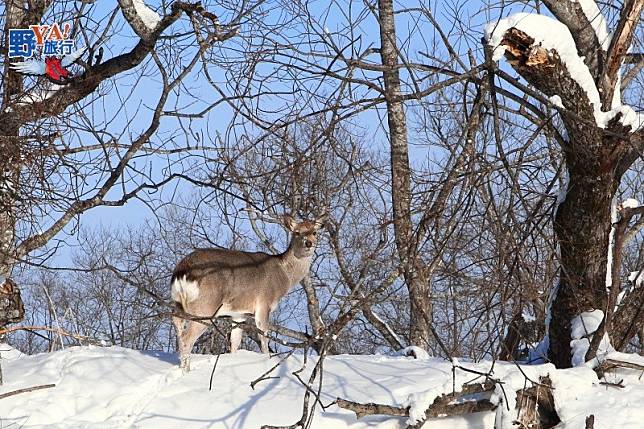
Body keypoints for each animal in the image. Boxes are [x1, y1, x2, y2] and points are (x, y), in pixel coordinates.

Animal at [171, 214, 328, 372]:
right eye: (296, 232)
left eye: (315, 232)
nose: (309, 243)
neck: (284, 276)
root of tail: (182, 270)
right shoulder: (264, 304)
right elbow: (264, 339)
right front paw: (266, 360)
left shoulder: (238, 313)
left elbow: (235, 341)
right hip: (205, 306)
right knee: (187, 338)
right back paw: (186, 371)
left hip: (178, 304)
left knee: (178, 328)